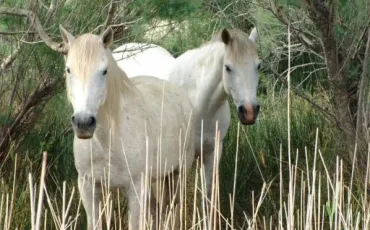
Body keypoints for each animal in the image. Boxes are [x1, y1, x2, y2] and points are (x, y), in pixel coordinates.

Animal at [58, 26, 194, 229]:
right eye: (69, 70)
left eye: (104, 71)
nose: (83, 123)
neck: (106, 142)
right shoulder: (88, 187)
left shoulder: (136, 188)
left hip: (179, 174)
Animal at [114, 28, 262, 201]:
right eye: (228, 67)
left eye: (258, 66)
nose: (249, 111)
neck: (199, 105)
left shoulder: (212, 153)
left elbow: (207, 193)